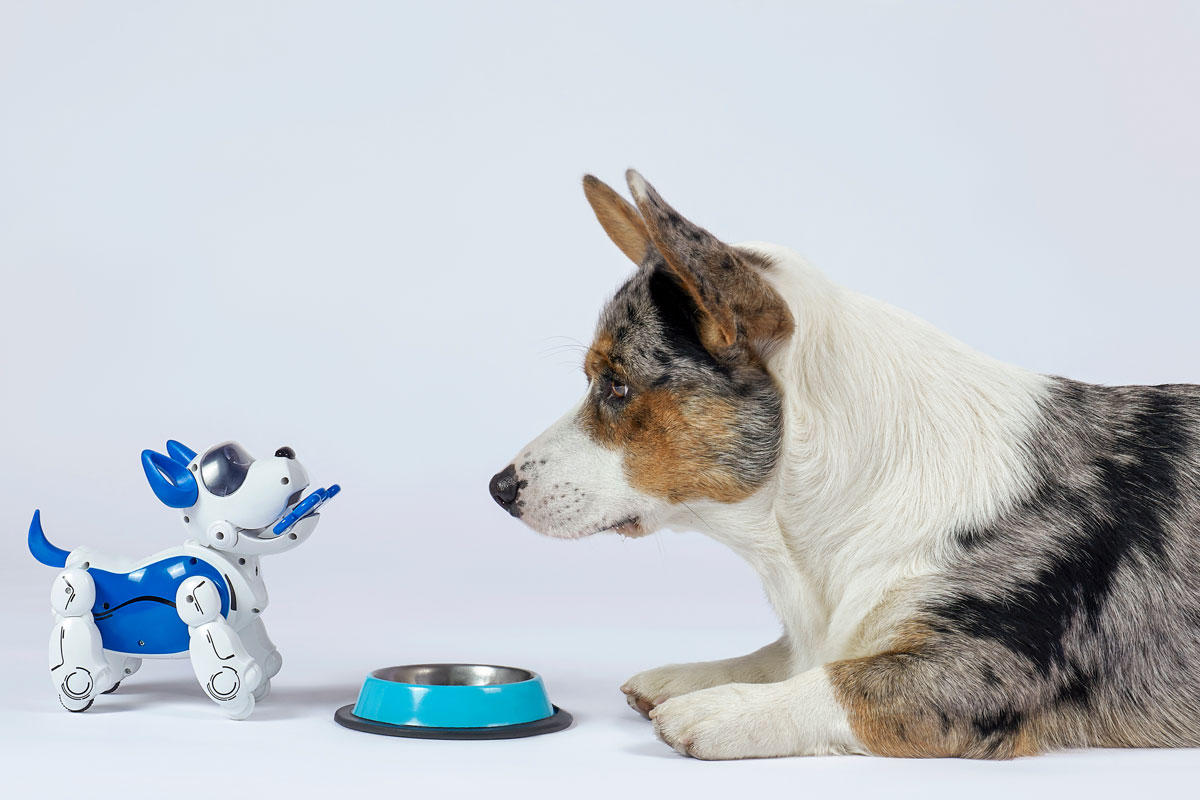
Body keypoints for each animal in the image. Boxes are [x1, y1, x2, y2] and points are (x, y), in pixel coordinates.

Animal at [29, 443, 338, 719]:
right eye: (224, 479)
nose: (285, 452)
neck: (229, 560)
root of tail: (74, 557)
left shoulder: (245, 623)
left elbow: (267, 659)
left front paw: (261, 686)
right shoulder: (198, 594)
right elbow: (226, 664)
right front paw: (237, 704)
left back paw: (113, 679)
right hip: (76, 593)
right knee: (72, 627)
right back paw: (78, 695)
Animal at [489, 172, 1200, 762]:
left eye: (615, 387)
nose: (498, 489)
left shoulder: (981, 668)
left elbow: (839, 679)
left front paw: (718, 708)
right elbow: (791, 654)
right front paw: (690, 676)